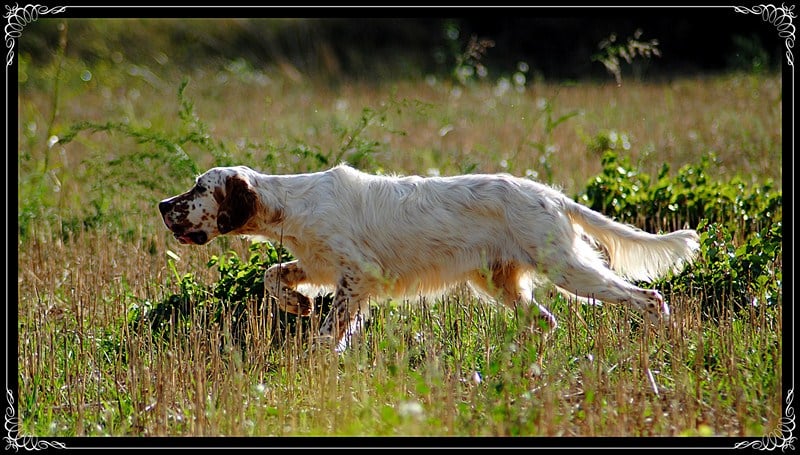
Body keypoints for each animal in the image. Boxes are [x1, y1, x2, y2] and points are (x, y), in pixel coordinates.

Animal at [159, 164, 696, 350]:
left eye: (199, 188)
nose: (163, 206)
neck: (292, 203)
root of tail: (550, 194)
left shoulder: (358, 276)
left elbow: (329, 332)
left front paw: (314, 361)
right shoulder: (319, 265)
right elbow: (275, 275)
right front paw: (297, 305)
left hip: (567, 268)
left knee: (648, 298)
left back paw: (659, 337)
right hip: (497, 282)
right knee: (546, 321)